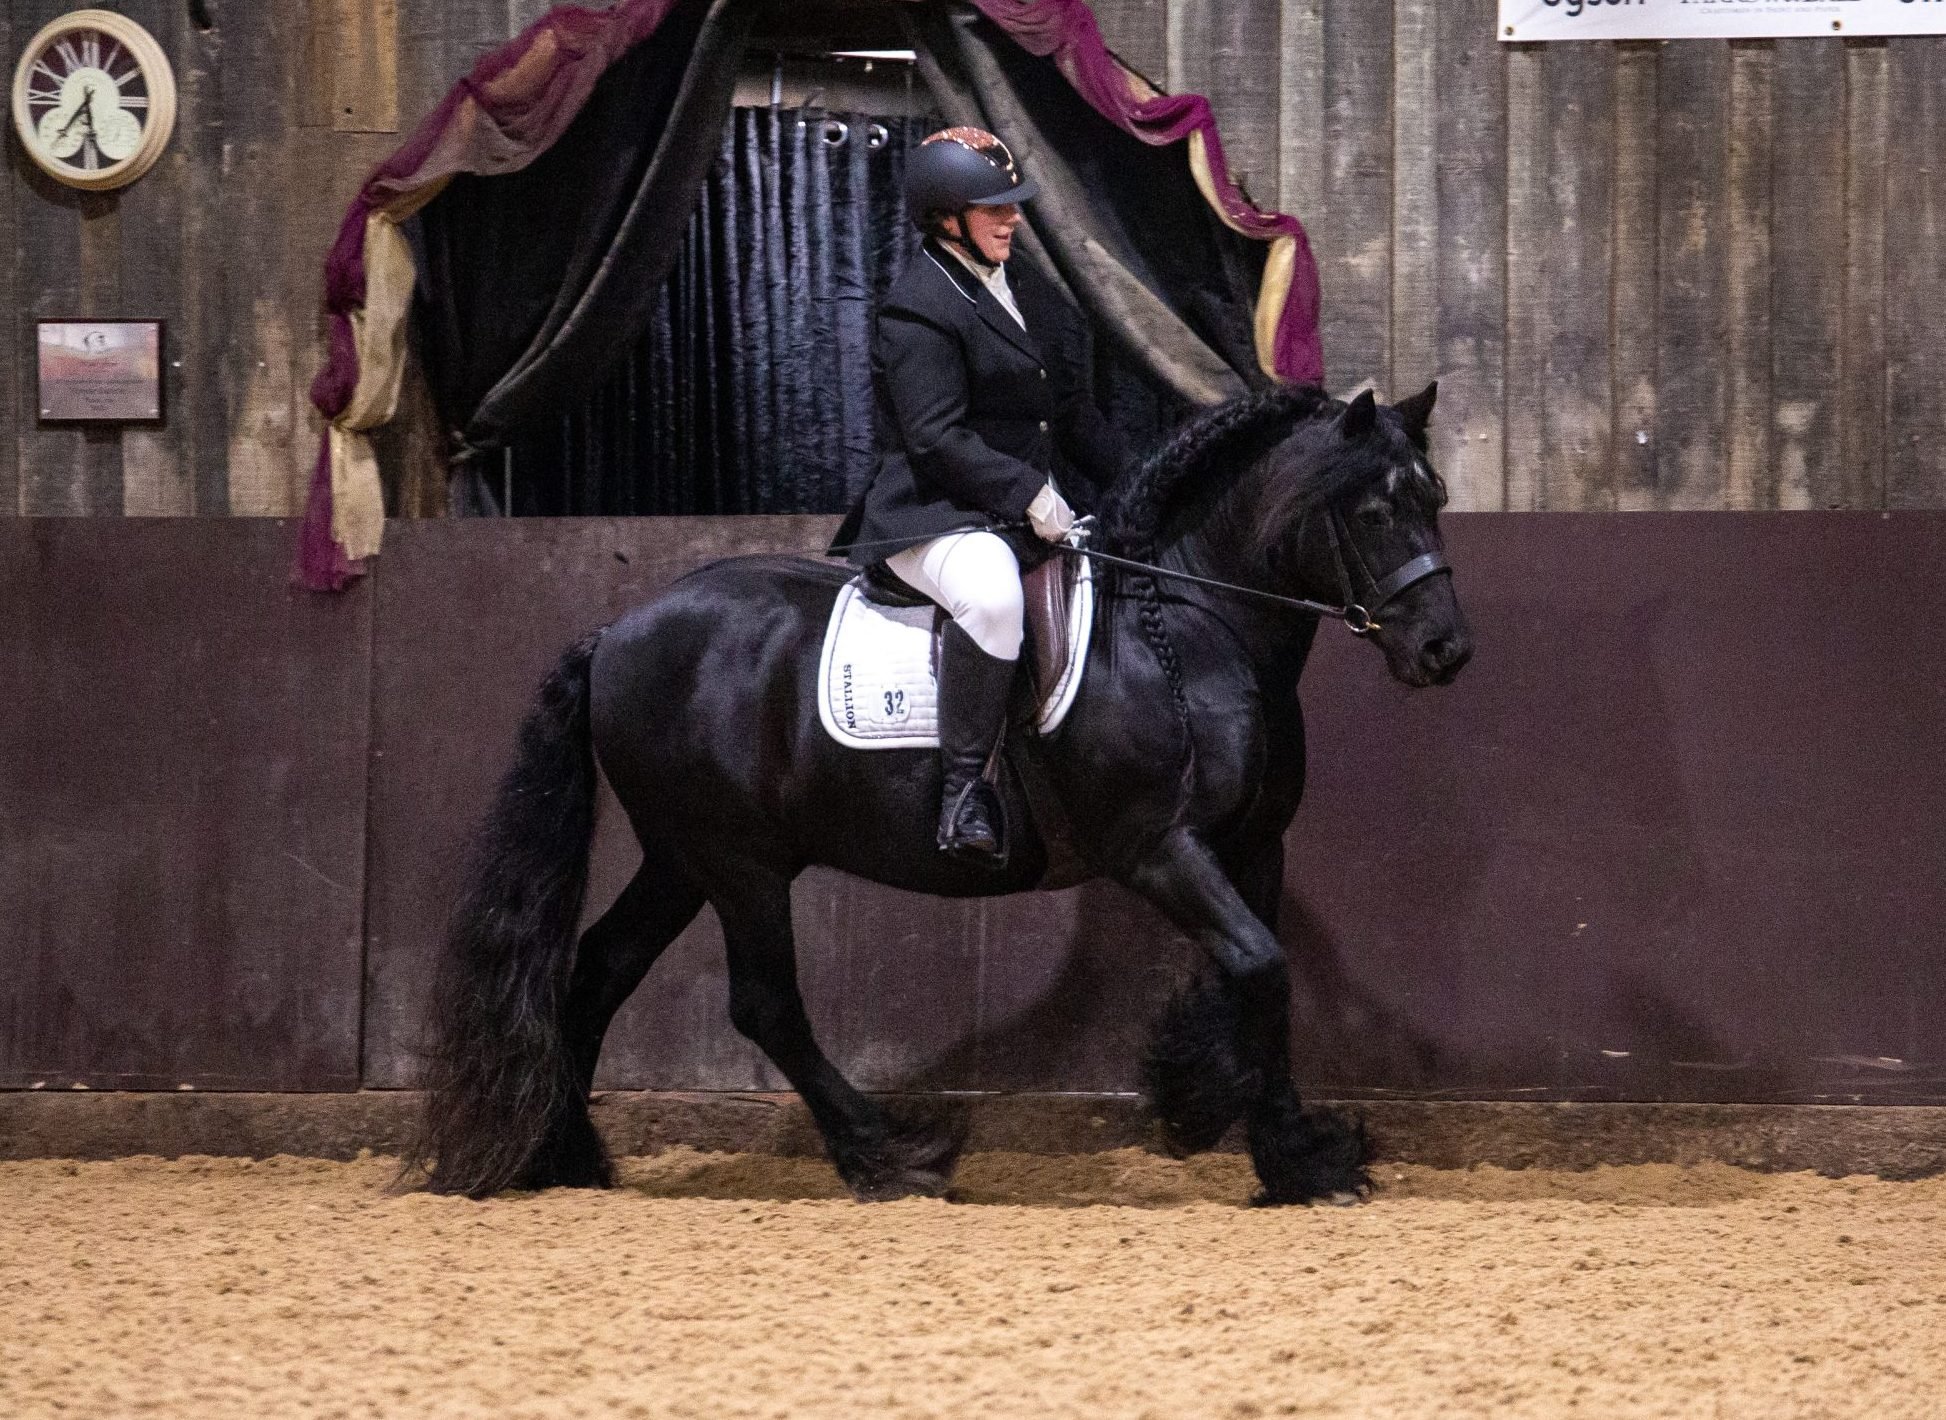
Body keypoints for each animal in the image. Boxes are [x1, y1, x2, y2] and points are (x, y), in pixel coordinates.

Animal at [412, 382, 1472, 1205]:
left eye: (1436, 499)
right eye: (1375, 510)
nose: (1445, 650)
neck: (1190, 624)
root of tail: (617, 633)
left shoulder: (1255, 844)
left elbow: (1261, 977)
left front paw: (1233, 1110)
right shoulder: (1158, 847)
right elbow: (1259, 967)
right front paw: (1289, 1154)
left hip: (682, 856)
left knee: (599, 970)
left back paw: (565, 1159)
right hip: (740, 862)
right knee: (764, 1005)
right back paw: (891, 1155)